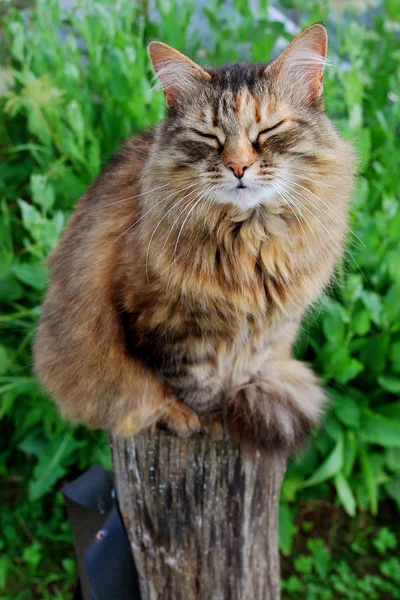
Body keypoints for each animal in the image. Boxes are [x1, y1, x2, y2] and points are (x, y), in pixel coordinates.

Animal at [32, 25, 354, 452]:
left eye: (268, 130)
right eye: (208, 136)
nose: (238, 166)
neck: (249, 244)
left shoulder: (265, 332)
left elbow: (239, 376)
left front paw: (229, 411)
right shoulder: (167, 327)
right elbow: (193, 386)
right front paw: (205, 421)